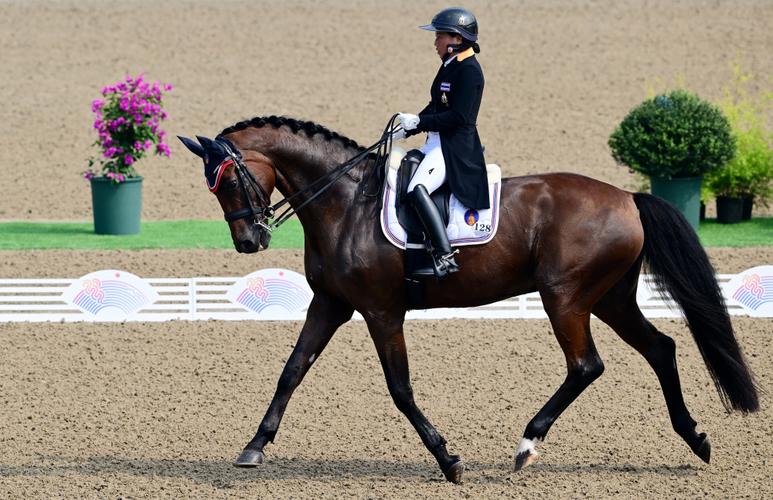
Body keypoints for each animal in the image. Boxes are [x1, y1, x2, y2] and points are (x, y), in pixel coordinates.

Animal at [178, 115, 759, 484]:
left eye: (228, 181)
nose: (248, 241)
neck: (344, 204)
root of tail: (627, 197)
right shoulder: (329, 305)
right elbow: (292, 371)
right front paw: (254, 447)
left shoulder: (382, 312)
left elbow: (400, 390)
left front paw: (449, 460)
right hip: (609, 298)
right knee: (660, 348)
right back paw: (696, 439)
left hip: (565, 297)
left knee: (586, 365)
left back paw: (527, 446)